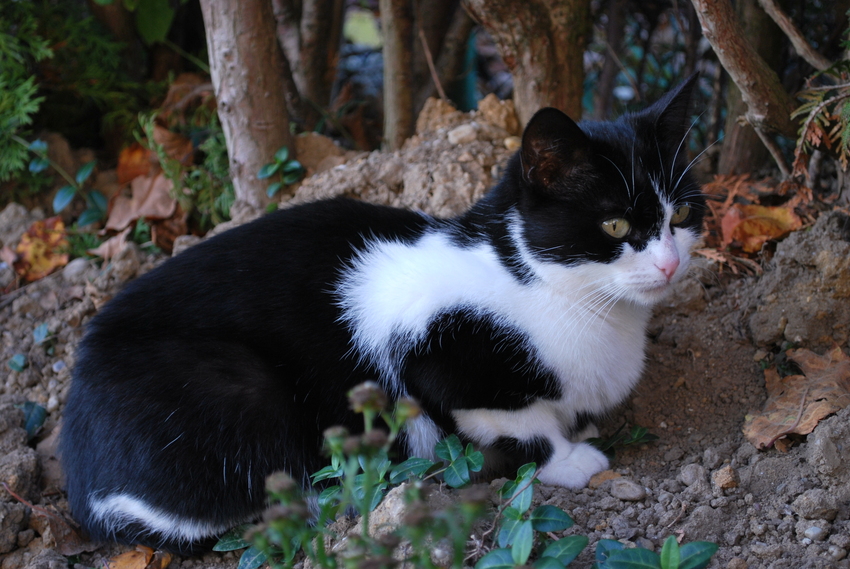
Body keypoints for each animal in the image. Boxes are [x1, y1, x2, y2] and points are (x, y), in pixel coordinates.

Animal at [59, 73, 704, 552]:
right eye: (615, 225)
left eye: (682, 214)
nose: (671, 264)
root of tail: (80, 476)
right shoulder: (434, 346)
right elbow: (517, 420)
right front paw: (571, 459)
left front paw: (582, 427)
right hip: (240, 392)